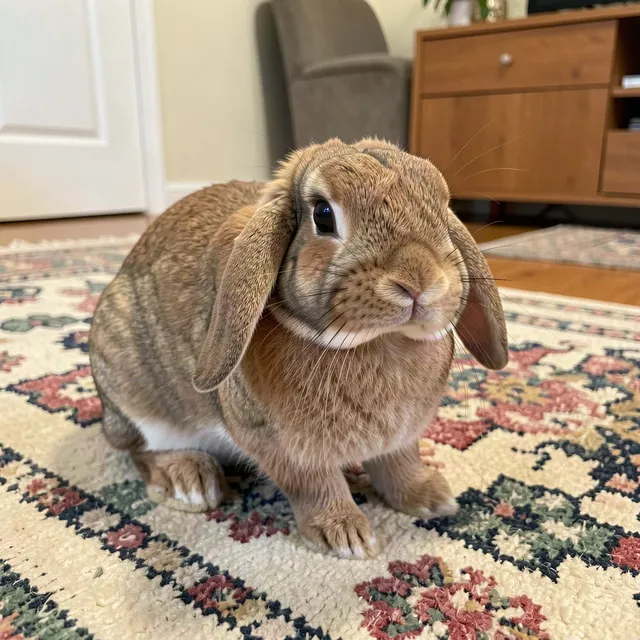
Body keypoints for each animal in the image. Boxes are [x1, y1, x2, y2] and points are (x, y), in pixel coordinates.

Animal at [89, 137, 507, 559]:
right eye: (323, 215)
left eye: (442, 208)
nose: (420, 281)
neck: (378, 341)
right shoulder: (282, 446)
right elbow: (313, 486)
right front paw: (347, 536)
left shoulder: (401, 439)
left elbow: (399, 464)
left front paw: (431, 497)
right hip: (133, 389)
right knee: (139, 449)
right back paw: (189, 482)